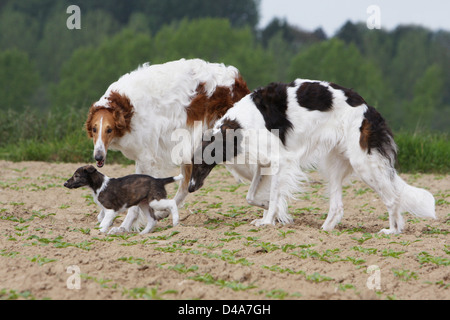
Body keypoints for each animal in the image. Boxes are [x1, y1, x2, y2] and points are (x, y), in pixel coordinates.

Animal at [84, 58, 250, 232]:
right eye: (94, 129)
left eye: (109, 129)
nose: (98, 156)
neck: (127, 109)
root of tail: (238, 81)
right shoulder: (143, 157)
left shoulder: (147, 158)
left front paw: (124, 226)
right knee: (185, 186)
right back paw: (162, 212)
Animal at [189, 79, 436, 234]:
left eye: (200, 164)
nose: (190, 188)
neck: (238, 125)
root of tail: (368, 109)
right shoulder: (265, 163)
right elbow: (252, 196)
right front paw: (273, 213)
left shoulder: (280, 160)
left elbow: (273, 196)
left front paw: (269, 221)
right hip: (334, 165)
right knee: (337, 206)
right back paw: (324, 230)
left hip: (364, 164)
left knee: (393, 199)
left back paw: (392, 231)